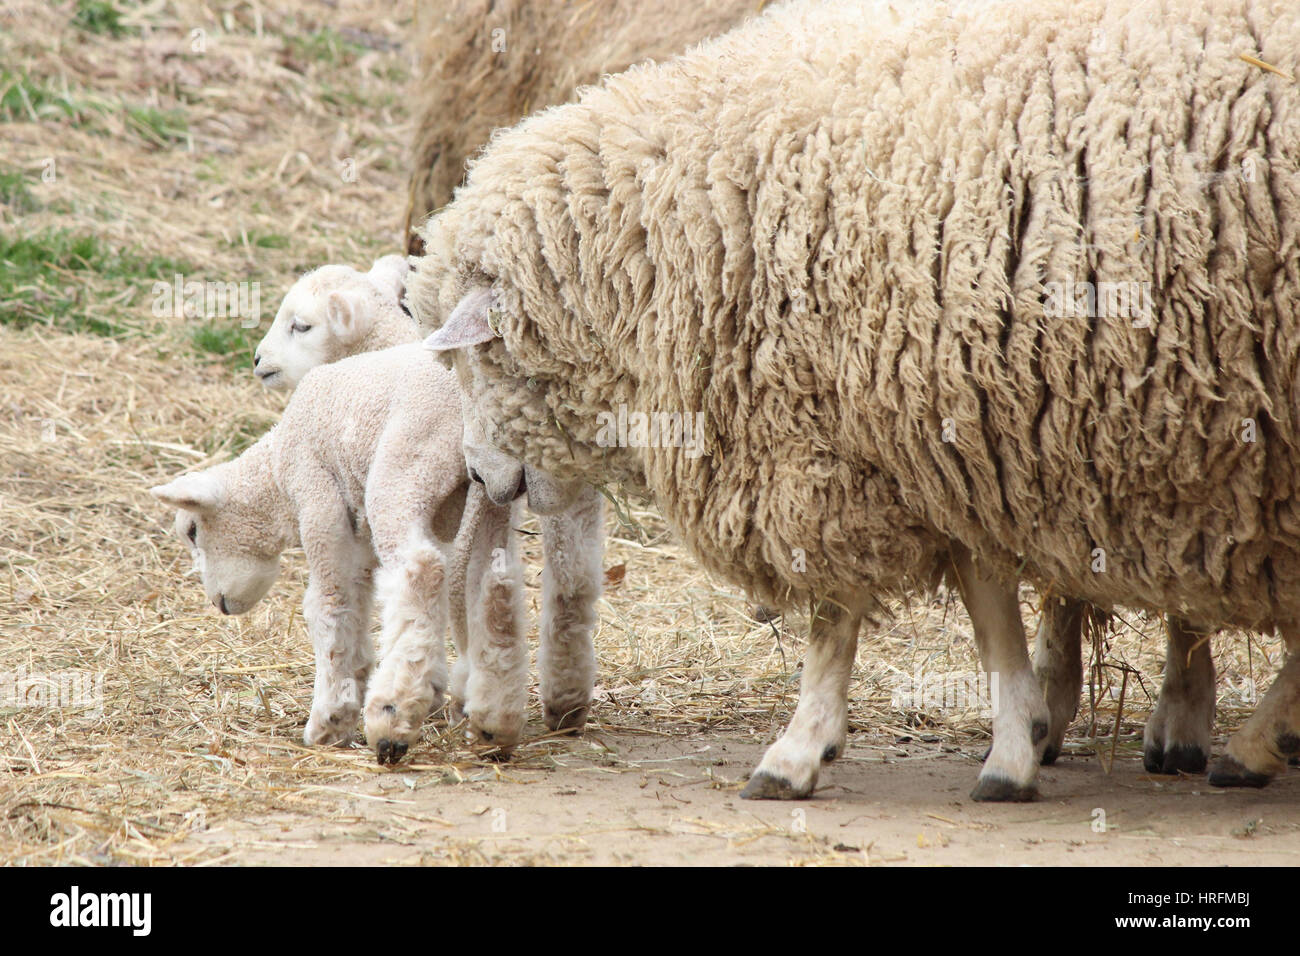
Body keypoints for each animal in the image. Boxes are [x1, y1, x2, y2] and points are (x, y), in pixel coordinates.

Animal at [154, 343, 530, 764]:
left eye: (192, 531)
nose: (218, 604)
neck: (276, 476)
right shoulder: (359, 530)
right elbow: (356, 606)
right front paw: (356, 682)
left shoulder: (318, 495)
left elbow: (330, 605)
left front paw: (330, 720)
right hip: (491, 487)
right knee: (495, 585)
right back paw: (495, 722)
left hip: (407, 467)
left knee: (422, 568)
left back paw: (392, 714)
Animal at [413, 0, 1300, 806]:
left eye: (475, 359)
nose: (481, 479)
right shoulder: (947, 446)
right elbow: (990, 616)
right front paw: (1016, 741)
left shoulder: (827, 450)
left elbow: (834, 619)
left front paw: (797, 750)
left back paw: (1246, 744)